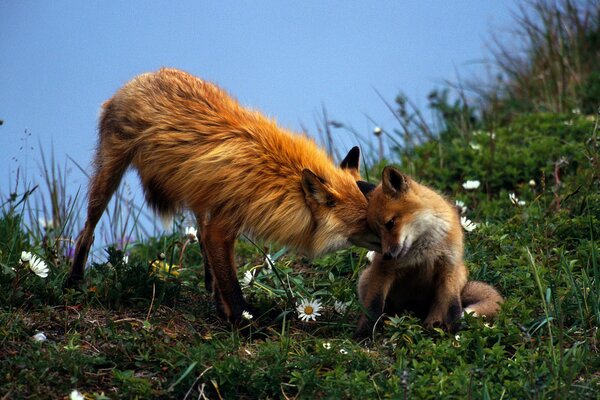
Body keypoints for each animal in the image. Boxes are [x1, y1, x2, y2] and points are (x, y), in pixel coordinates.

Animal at [67, 68, 380, 324]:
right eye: (366, 223)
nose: (392, 246)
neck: (276, 178)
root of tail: (140, 77)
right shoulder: (222, 228)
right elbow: (232, 287)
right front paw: (245, 326)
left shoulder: (220, 221)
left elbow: (222, 271)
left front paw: (225, 309)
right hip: (109, 176)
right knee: (86, 233)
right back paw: (73, 282)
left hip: (197, 195)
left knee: (201, 242)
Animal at [354, 166, 504, 338]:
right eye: (376, 233)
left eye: (390, 223)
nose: (387, 255)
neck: (424, 247)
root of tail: (414, 309)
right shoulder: (382, 270)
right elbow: (373, 306)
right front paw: (363, 332)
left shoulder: (449, 266)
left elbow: (453, 307)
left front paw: (454, 332)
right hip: (365, 278)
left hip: (457, 275)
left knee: (439, 306)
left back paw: (433, 323)